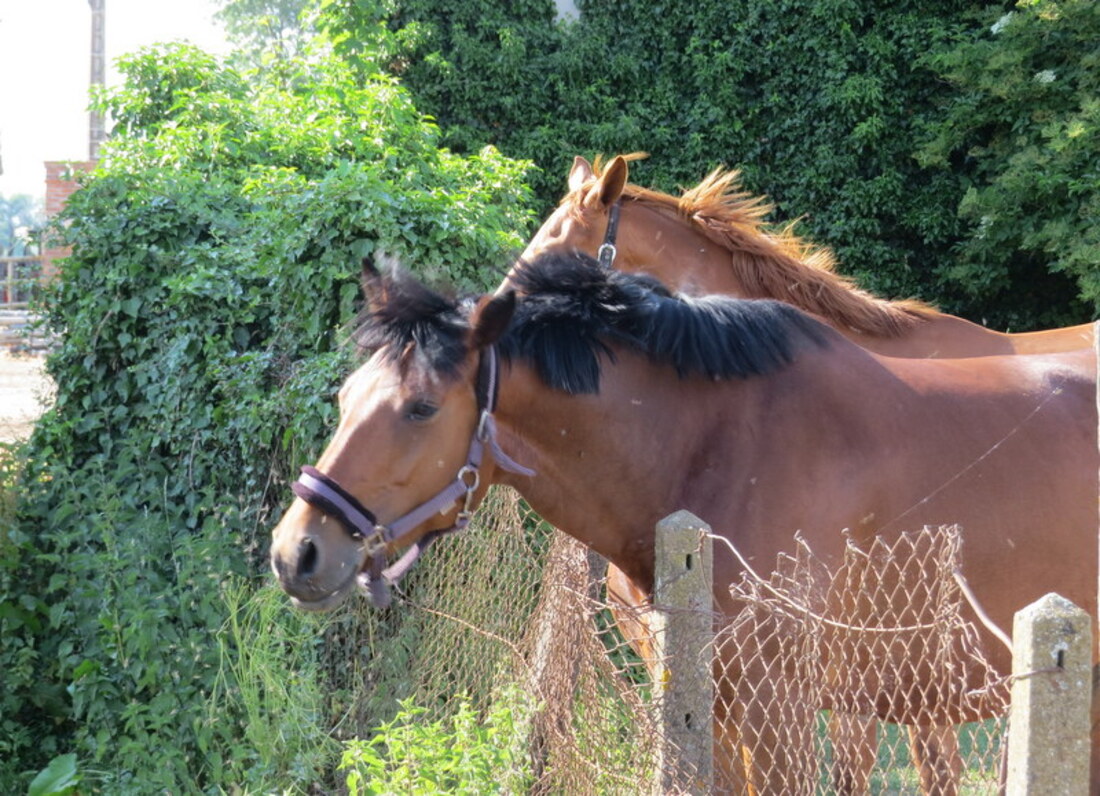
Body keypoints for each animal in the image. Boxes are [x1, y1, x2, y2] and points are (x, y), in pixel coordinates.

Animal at [268, 251, 1100, 791]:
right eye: (345, 397)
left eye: (420, 408)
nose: (296, 551)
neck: (719, 448)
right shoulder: (716, 715)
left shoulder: (784, 716)